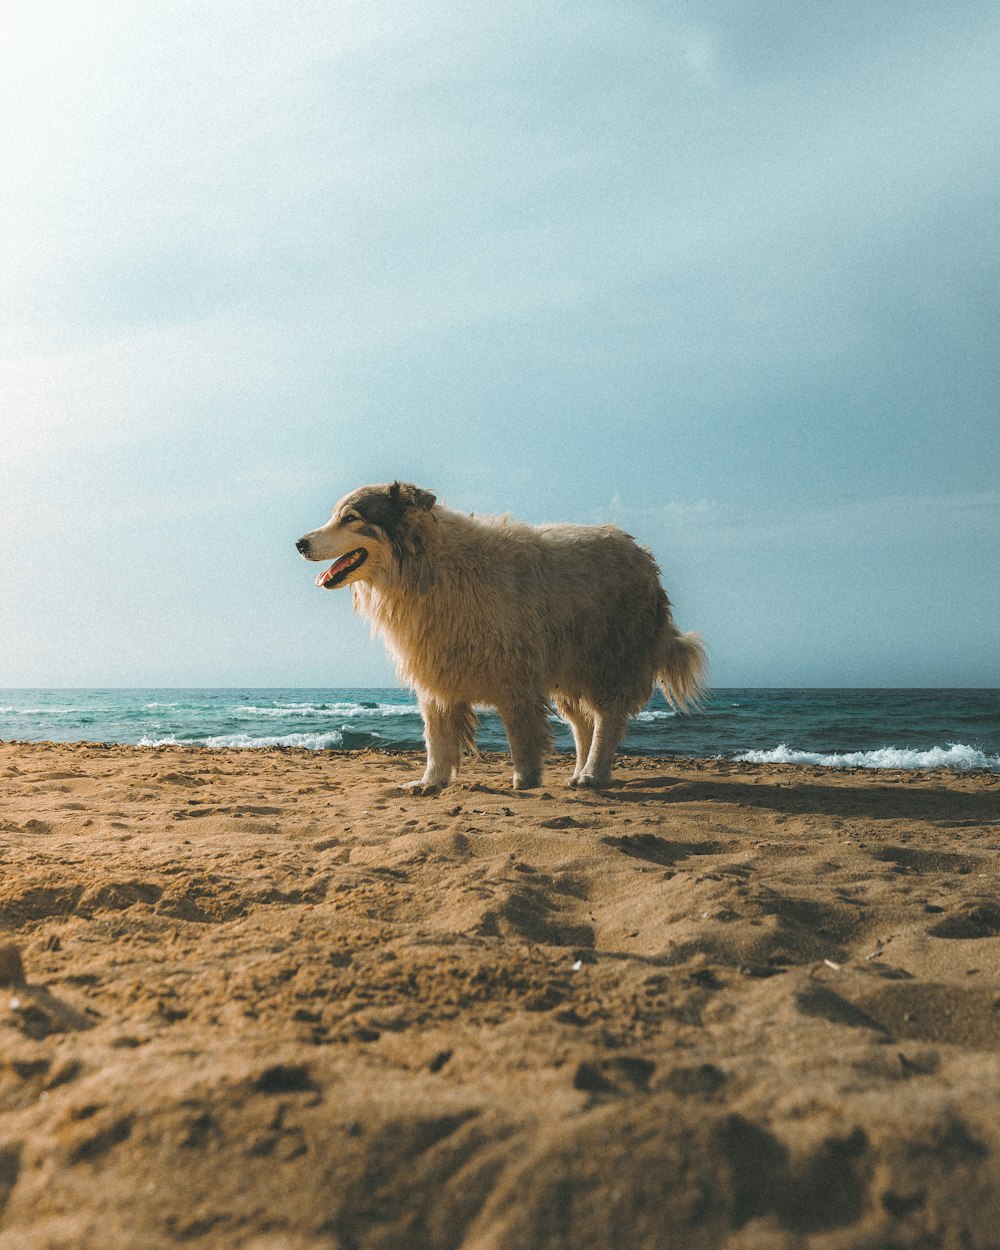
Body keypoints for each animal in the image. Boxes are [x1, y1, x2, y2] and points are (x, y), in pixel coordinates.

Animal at [292, 480, 705, 790]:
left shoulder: (513, 673)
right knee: (582, 725)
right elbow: (436, 736)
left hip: (609, 660)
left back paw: (592, 774)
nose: (300, 543)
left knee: (606, 720)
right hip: (569, 668)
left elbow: (520, 733)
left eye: (350, 518)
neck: (428, 565)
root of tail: (642, 555)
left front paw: (526, 779)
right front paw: (431, 782)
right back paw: (578, 772)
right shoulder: (436, 668)